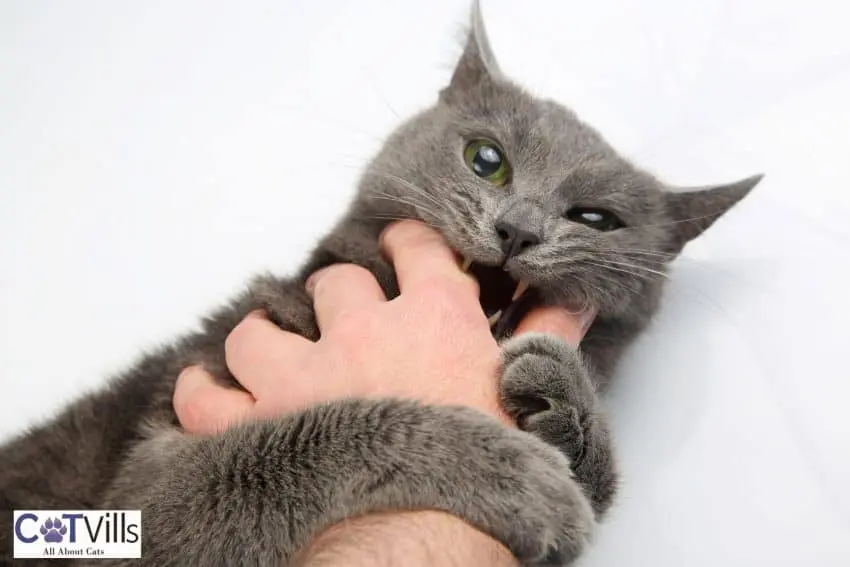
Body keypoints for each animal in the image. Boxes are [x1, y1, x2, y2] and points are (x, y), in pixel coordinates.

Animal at [0, 2, 756, 564]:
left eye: (596, 219)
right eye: (487, 159)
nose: (517, 229)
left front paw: (565, 393)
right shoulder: (144, 497)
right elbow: (280, 446)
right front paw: (515, 474)